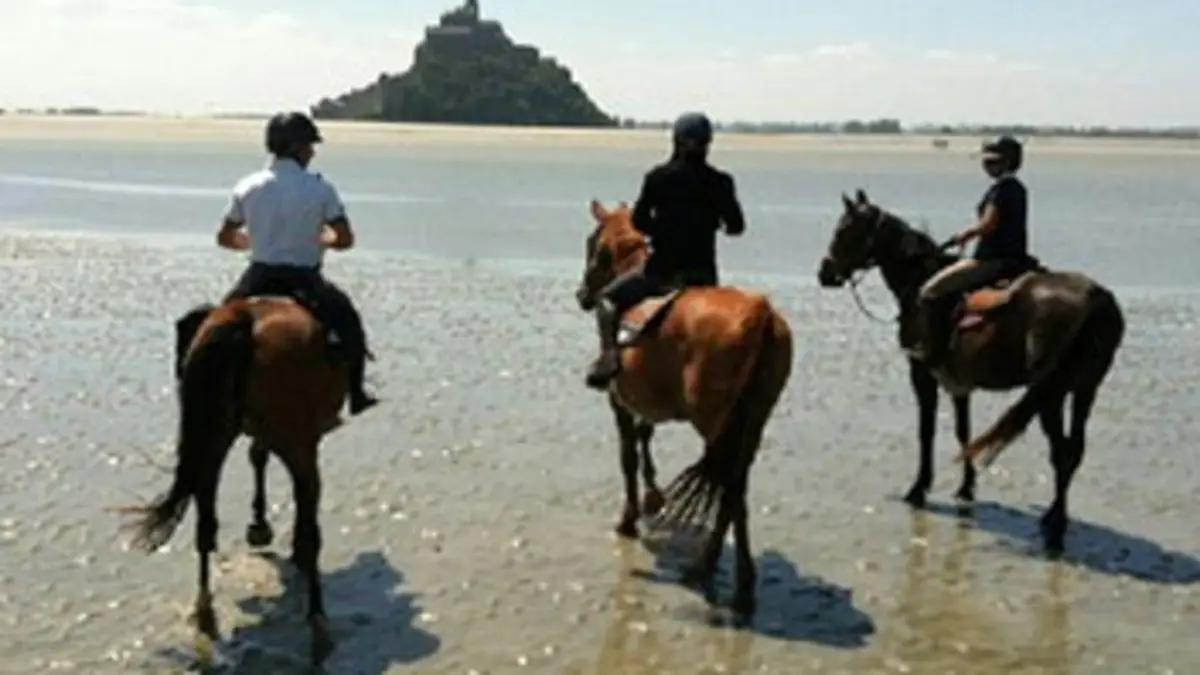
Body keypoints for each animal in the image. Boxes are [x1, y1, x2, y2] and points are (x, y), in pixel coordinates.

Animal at [119, 296, 352, 664]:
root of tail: (244, 321)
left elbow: (257, 458)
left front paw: (259, 525)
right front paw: (269, 530)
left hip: (213, 442)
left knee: (205, 525)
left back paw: (204, 610)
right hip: (297, 442)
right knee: (310, 517)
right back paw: (317, 617)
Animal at [575, 199, 794, 615]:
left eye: (592, 243)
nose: (582, 294)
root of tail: (761, 314)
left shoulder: (620, 401)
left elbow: (629, 456)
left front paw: (630, 517)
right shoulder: (646, 402)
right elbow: (645, 437)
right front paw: (653, 497)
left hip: (715, 423)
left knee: (728, 488)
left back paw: (714, 570)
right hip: (752, 421)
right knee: (735, 488)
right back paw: (732, 577)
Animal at [817, 189, 1125, 553]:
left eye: (843, 230)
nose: (824, 273)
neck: (918, 280)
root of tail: (1097, 299)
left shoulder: (921, 373)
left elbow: (926, 431)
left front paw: (918, 489)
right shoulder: (960, 383)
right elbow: (963, 432)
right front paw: (966, 488)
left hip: (1051, 393)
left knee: (1061, 452)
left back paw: (1056, 530)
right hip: (1084, 389)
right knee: (1074, 450)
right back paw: (1052, 518)